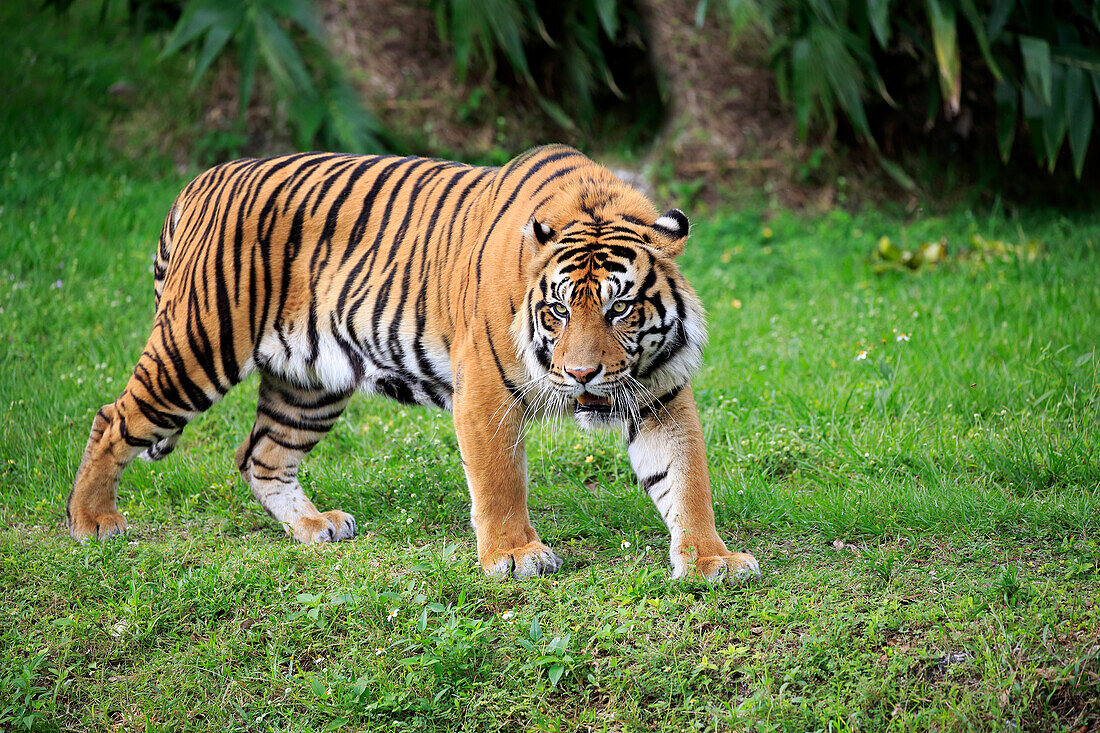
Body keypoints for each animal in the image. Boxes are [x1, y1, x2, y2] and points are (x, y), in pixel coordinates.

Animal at [66, 143, 756, 581]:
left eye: (620, 310)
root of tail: (202, 180)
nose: (582, 375)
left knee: (262, 455)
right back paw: (92, 522)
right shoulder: (486, 392)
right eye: (558, 310)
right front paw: (514, 556)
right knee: (113, 418)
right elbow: (500, 481)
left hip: (307, 383)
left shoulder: (661, 395)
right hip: (198, 346)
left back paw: (313, 526)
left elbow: (686, 478)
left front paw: (711, 560)